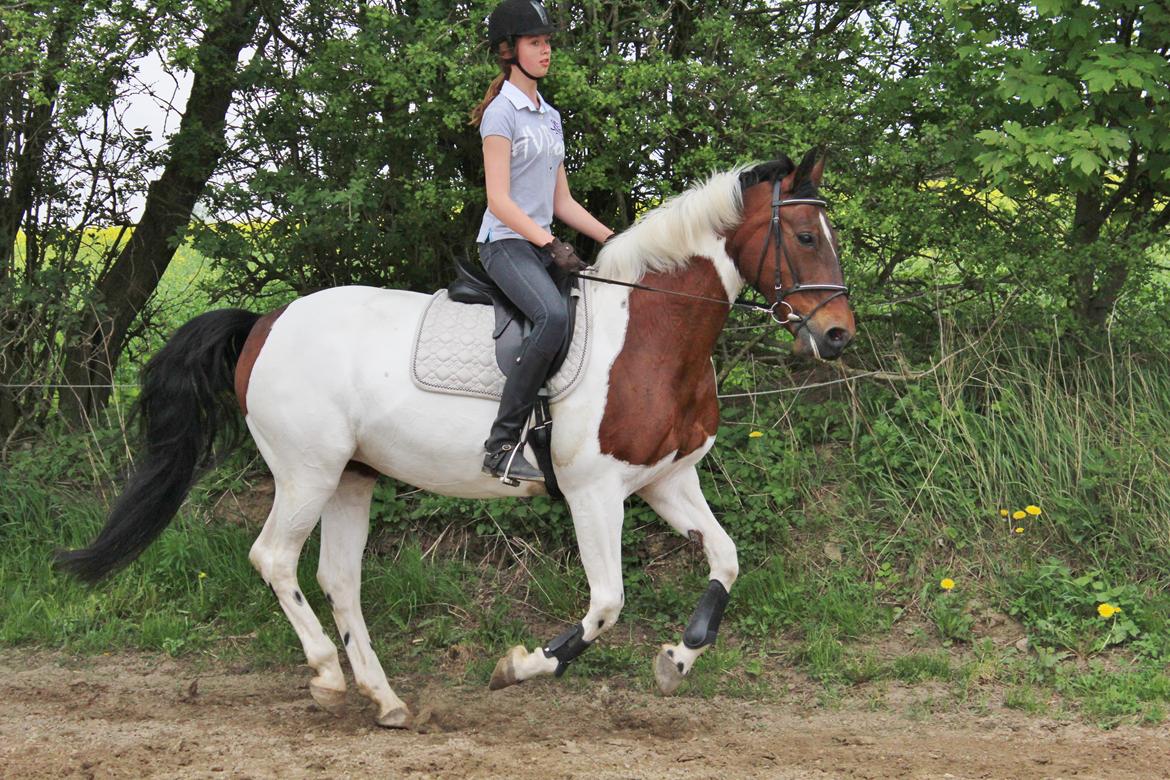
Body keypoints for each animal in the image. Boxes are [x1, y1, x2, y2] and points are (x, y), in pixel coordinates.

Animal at [59, 149, 851, 729]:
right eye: (806, 237)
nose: (838, 335)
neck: (649, 334)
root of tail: (265, 322)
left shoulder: (665, 480)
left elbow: (725, 560)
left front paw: (677, 661)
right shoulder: (595, 492)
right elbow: (606, 602)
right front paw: (520, 668)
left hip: (352, 476)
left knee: (338, 579)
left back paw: (385, 701)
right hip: (306, 471)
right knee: (274, 558)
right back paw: (326, 678)